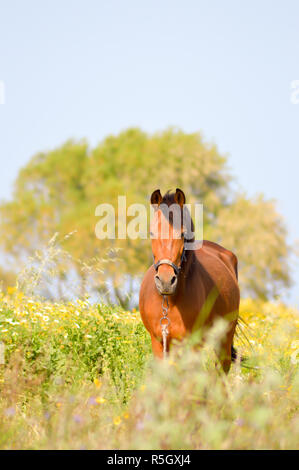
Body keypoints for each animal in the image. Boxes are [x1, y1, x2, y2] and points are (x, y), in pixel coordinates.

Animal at [139, 189, 240, 372]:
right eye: (151, 233)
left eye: (182, 233)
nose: (166, 281)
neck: (171, 301)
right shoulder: (159, 342)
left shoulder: (192, 344)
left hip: (224, 339)